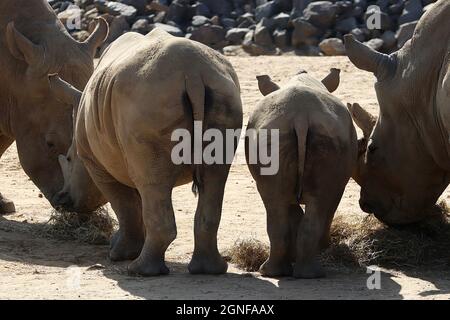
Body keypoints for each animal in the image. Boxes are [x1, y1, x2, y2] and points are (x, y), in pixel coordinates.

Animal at [246, 69, 356, 278]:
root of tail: (300, 117)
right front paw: (321, 247)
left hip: (274, 135)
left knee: (276, 202)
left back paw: (279, 273)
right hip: (313, 135)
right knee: (311, 203)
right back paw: (307, 272)